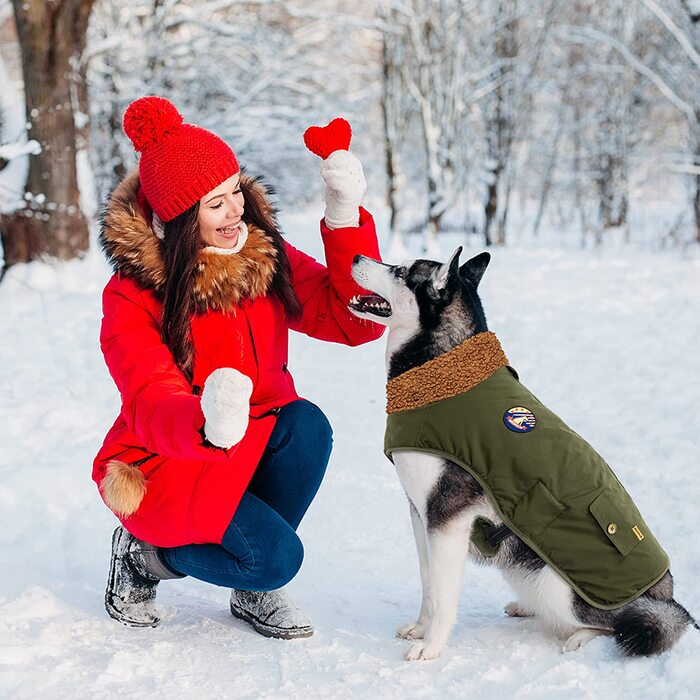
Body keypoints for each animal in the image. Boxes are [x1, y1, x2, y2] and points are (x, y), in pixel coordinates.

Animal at [350, 247, 696, 660]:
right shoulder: (420, 511)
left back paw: (582, 636)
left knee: (618, 625)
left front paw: (431, 646)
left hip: (560, 586)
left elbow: (443, 594)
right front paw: (421, 629)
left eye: (400, 272)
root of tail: (667, 597)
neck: (441, 378)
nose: (355, 257)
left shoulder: (447, 518)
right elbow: (428, 583)